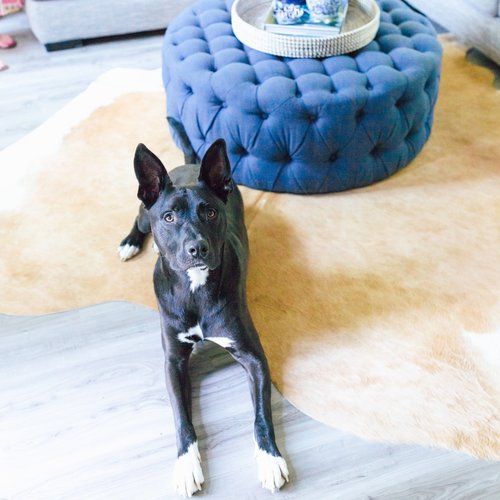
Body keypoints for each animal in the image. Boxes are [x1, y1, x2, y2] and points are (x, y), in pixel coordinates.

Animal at [118, 139, 290, 498]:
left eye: (210, 212)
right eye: (169, 217)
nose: (197, 248)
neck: (195, 288)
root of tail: (191, 163)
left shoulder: (254, 357)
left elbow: (262, 414)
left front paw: (270, 458)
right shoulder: (173, 362)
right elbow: (182, 419)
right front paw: (186, 465)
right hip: (143, 213)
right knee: (138, 221)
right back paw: (130, 243)